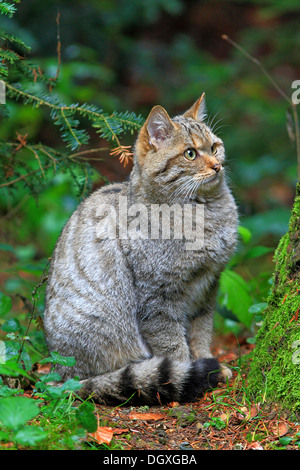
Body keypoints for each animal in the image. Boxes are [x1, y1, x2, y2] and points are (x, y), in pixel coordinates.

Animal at [43, 94, 238, 404]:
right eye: (190, 154)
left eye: (214, 147)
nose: (217, 166)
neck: (206, 213)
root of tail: (58, 376)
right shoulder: (157, 298)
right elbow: (173, 347)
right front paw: (189, 372)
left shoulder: (207, 289)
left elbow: (201, 333)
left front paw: (208, 363)